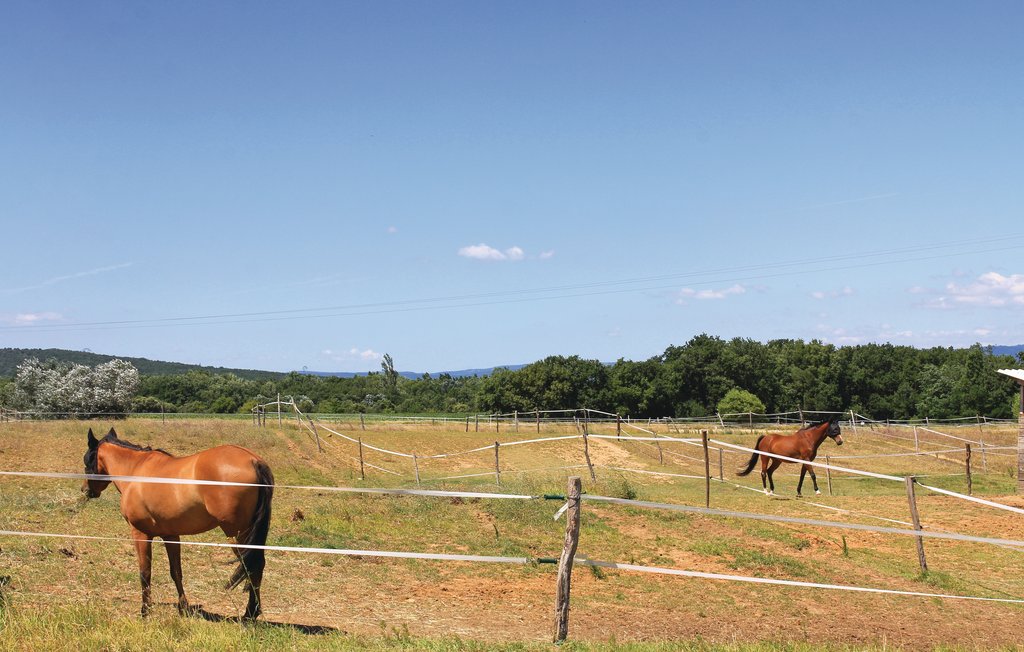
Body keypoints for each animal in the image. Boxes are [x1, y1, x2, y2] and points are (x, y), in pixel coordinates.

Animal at [80, 429, 272, 618]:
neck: (136, 471)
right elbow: (176, 572)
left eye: (87, 460)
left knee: (253, 566)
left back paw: (250, 613)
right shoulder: (170, 535)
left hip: (237, 534)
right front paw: (183, 607)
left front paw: (145, 611)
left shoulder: (140, 534)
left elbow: (145, 573)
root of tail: (253, 460)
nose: (85, 490)